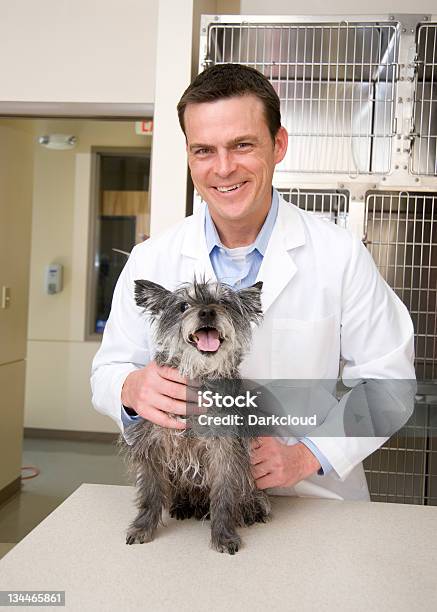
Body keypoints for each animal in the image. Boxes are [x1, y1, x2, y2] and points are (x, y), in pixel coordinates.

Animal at [117, 278, 270, 556]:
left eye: (224, 302)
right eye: (183, 306)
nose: (207, 311)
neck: (199, 375)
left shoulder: (225, 452)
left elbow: (224, 497)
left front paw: (223, 535)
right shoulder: (152, 448)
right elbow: (150, 493)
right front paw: (143, 527)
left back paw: (251, 507)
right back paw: (184, 505)